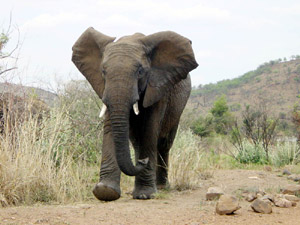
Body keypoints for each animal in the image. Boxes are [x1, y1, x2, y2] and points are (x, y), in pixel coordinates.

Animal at [71, 27, 198, 201]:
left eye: (140, 71)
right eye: (103, 71)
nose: (143, 161)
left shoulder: (158, 86)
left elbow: (149, 128)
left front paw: (145, 195)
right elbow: (111, 126)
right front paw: (105, 191)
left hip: (178, 106)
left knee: (164, 143)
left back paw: (161, 187)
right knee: (136, 140)